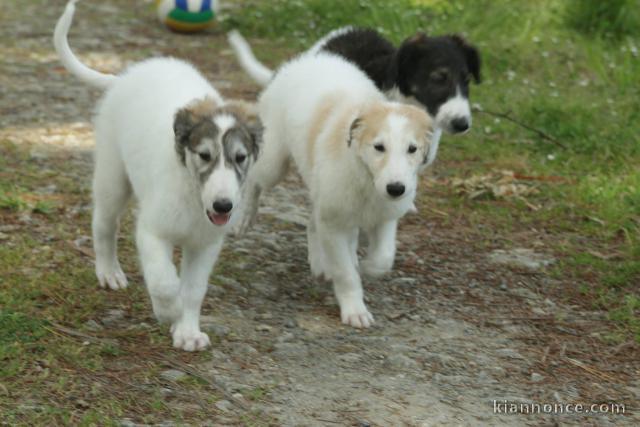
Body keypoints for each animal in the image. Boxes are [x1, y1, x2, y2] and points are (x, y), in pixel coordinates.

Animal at [53, 1, 260, 352]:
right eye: (204, 155)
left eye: (240, 158)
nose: (223, 206)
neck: (192, 195)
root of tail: (123, 78)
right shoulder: (152, 230)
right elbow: (164, 281)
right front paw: (169, 311)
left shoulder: (206, 244)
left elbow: (194, 289)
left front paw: (187, 330)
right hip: (112, 177)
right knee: (103, 225)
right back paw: (108, 271)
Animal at [242, 51, 438, 330]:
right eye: (379, 147)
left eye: (412, 149)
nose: (396, 189)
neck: (366, 178)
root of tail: (304, 60)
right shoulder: (334, 223)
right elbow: (345, 273)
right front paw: (355, 310)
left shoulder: (384, 216)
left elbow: (384, 257)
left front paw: (366, 267)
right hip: (274, 162)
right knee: (254, 178)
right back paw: (245, 217)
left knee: (314, 223)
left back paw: (323, 261)